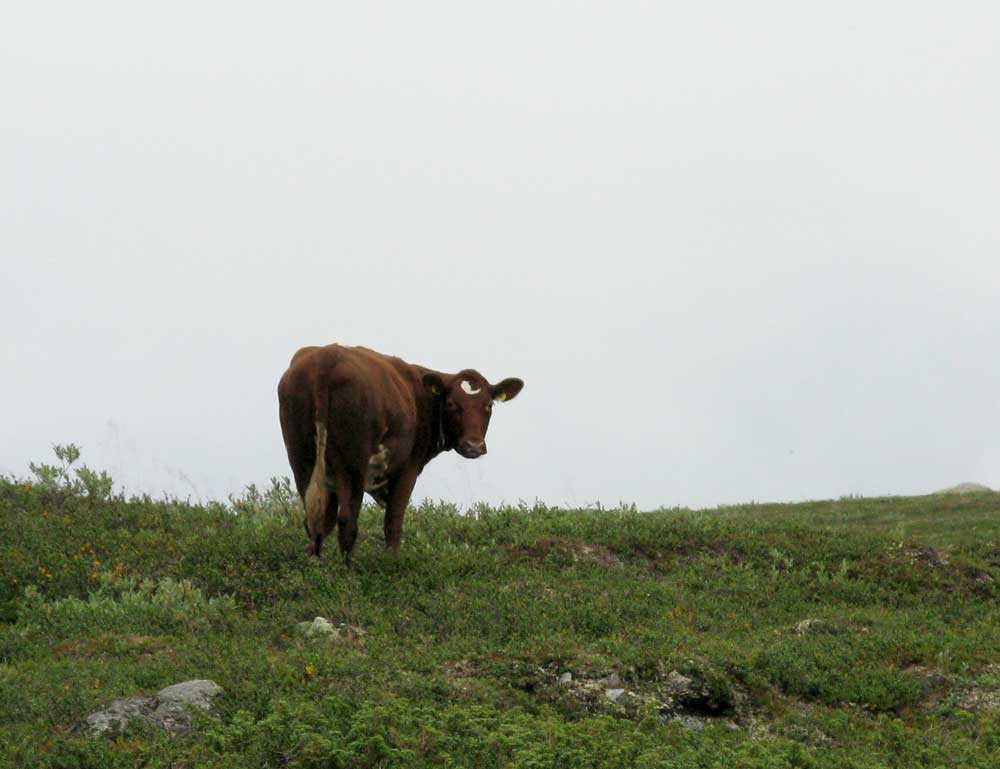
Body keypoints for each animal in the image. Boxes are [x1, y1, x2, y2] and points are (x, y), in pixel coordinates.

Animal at [277, 344, 524, 561]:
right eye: (452, 404)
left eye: (488, 405)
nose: (473, 445)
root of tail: (327, 357)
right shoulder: (408, 469)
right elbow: (394, 521)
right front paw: (392, 563)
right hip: (352, 463)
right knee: (347, 520)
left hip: (301, 458)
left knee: (315, 518)